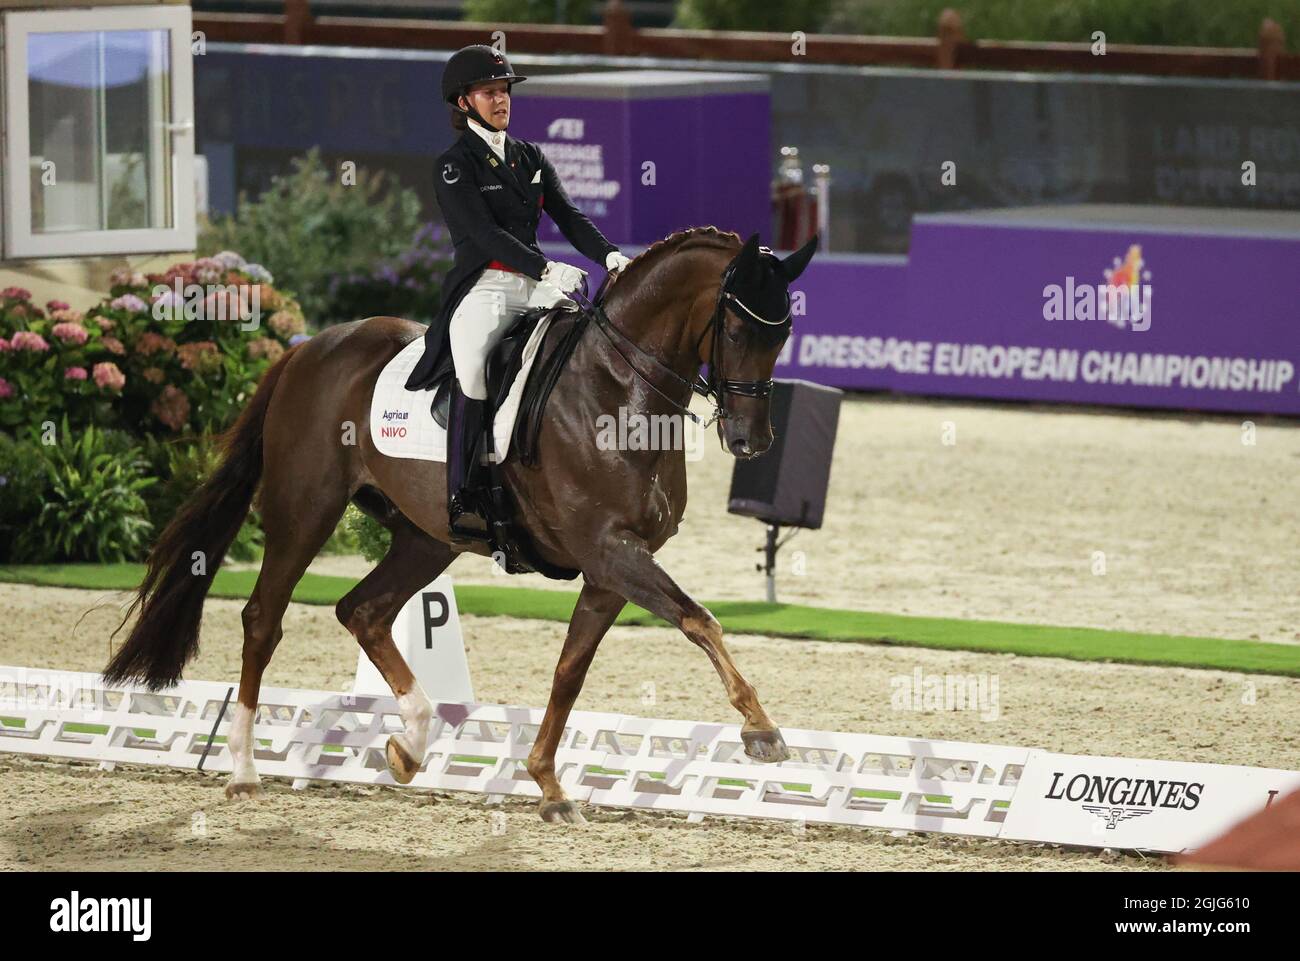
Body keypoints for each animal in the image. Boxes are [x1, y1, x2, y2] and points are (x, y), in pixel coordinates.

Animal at [104, 227, 811, 827]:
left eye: (783, 334)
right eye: (738, 328)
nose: (750, 440)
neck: (617, 388)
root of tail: (309, 348)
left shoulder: (611, 568)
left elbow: (570, 669)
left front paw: (548, 786)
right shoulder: (611, 551)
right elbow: (700, 620)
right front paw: (763, 732)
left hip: (426, 538)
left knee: (363, 611)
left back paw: (410, 746)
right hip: (307, 513)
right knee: (262, 619)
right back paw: (245, 770)